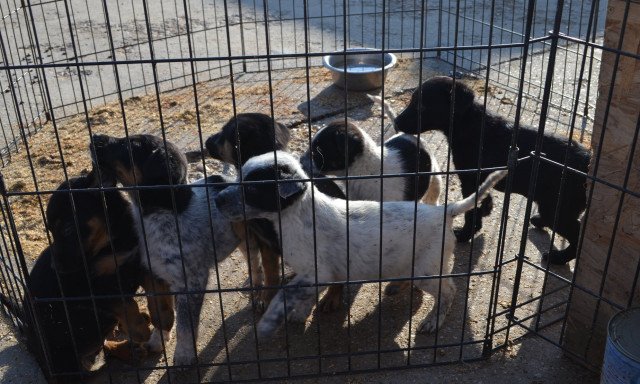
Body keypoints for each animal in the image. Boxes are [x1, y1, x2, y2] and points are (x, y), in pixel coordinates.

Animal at [0, 170, 151, 380]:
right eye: (51, 231)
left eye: (67, 229)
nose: (55, 267)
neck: (111, 242)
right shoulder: (86, 288)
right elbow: (126, 303)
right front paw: (139, 330)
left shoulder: (136, 261)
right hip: (63, 359)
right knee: (88, 371)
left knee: (101, 347)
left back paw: (128, 350)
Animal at [90, 134, 240, 366]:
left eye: (129, 145)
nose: (95, 137)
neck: (165, 212)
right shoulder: (156, 275)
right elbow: (162, 313)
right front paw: (158, 340)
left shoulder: (191, 282)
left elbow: (185, 326)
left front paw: (184, 354)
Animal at [205, 113, 344, 312]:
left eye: (224, 133)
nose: (206, 141)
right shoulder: (267, 244)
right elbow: (270, 272)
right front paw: (267, 297)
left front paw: (333, 295)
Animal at [212, 152, 508, 340]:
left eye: (252, 188)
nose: (216, 199)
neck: (298, 214)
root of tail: (444, 210)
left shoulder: (316, 273)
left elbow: (302, 296)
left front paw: (297, 315)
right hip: (413, 262)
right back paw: (398, 287)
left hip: (427, 269)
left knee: (449, 290)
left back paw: (433, 321)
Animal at [396, 76, 596, 266]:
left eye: (423, 105)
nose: (397, 122)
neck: (470, 124)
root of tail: (589, 163)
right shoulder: (479, 179)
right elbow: (481, 201)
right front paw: (486, 209)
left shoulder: (470, 178)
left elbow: (471, 211)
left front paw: (465, 233)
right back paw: (540, 222)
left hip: (558, 206)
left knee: (577, 235)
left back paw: (558, 258)